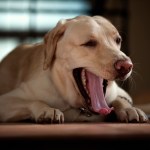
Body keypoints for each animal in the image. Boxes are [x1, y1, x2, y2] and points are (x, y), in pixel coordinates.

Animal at [0, 15, 148, 123]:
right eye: (89, 43)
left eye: (118, 40)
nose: (126, 66)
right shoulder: (7, 99)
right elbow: (35, 101)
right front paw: (47, 110)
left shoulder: (119, 93)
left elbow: (120, 100)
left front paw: (129, 109)